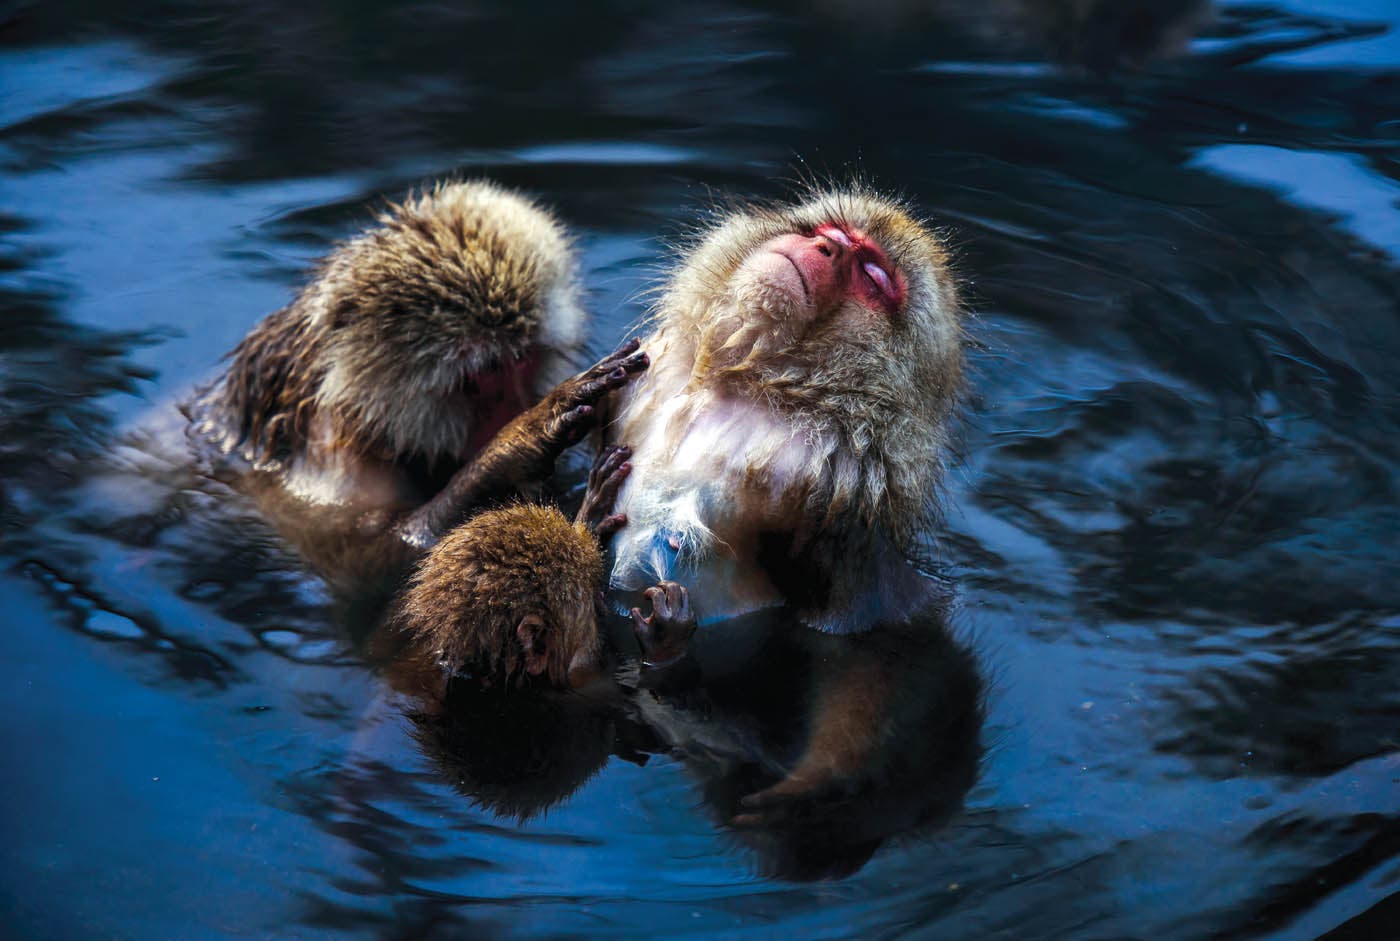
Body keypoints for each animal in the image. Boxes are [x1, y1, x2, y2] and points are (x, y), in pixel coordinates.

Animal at [182, 179, 648, 592]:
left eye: (522, 360)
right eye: (481, 377)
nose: (517, 404)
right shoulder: (338, 460)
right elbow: (364, 568)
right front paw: (517, 443)